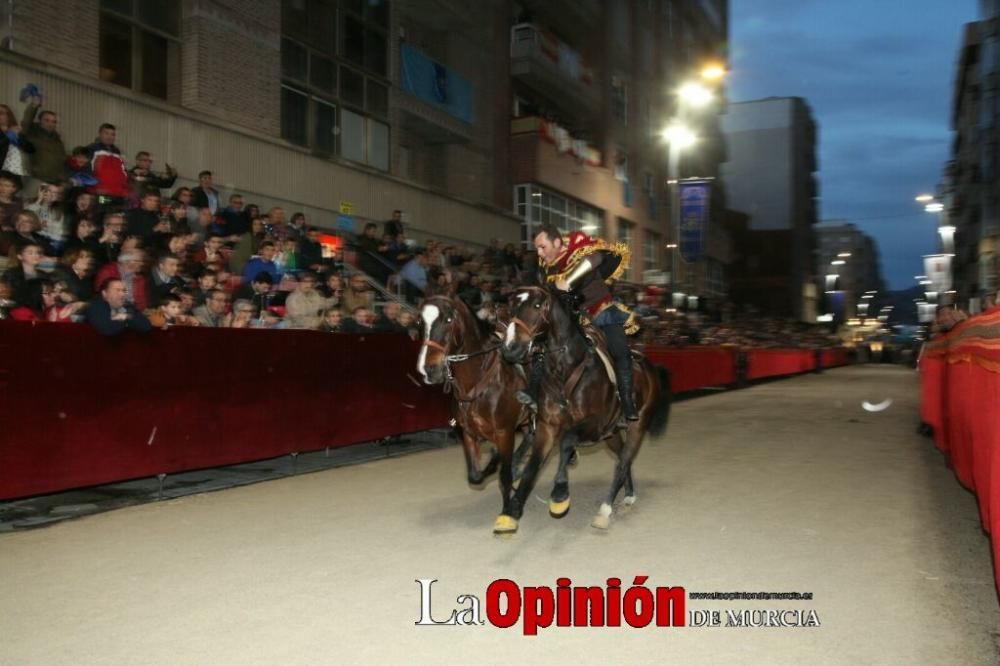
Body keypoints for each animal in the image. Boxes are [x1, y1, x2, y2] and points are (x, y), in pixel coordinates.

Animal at [416, 294, 536, 532]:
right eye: (420, 323)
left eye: (449, 319)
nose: (429, 369)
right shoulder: (468, 433)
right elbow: (475, 476)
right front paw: (494, 463)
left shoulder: (505, 432)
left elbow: (504, 477)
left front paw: (507, 513)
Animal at [500, 284, 672, 528]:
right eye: (511, 305)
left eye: (537, 305)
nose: (510, 348)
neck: (567, 369)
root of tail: (651, 368)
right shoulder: (548, 426)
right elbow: (533, 465)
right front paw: (511, 511)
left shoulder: (593, 425)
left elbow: (566, 441)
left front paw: (560, 495)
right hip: (612, 434)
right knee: (623, 458)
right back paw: (628, 495)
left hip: (637, 426)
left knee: (623, 462)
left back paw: (605, 509)